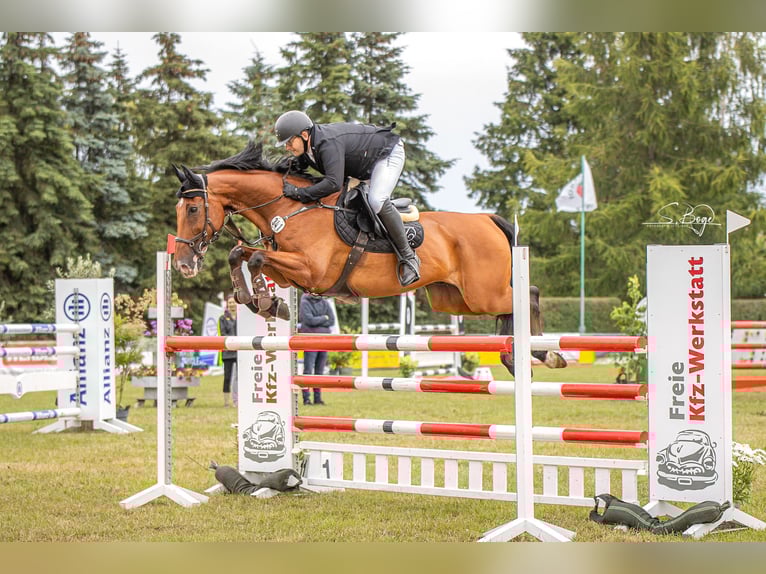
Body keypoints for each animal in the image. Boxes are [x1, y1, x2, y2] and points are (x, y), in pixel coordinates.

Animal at [171, 140, 566, 377]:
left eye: (192, 209)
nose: (183, 264)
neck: (290, 207)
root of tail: (486, 219)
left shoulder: (310, 271)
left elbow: (254, 259)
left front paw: (267, 302)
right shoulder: (289, 272)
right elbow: (242, 253)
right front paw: (256, 299)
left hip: (481, 292)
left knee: (527, 294)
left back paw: (544, 353)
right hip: (454, 299)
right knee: (514, 303)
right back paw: (519, 356)